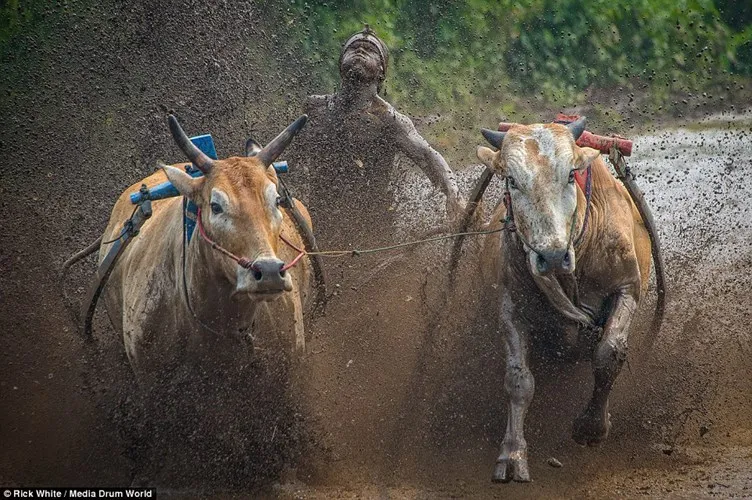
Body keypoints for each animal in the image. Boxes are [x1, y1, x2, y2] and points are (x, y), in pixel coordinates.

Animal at [476, 118, 656, 484]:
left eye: (571, 175)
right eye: (512, 180)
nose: (553, 256)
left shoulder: (627, 288)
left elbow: (608, 355)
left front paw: (591, 428)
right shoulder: (510, 307)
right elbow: (518, 380)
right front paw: (512, 454)